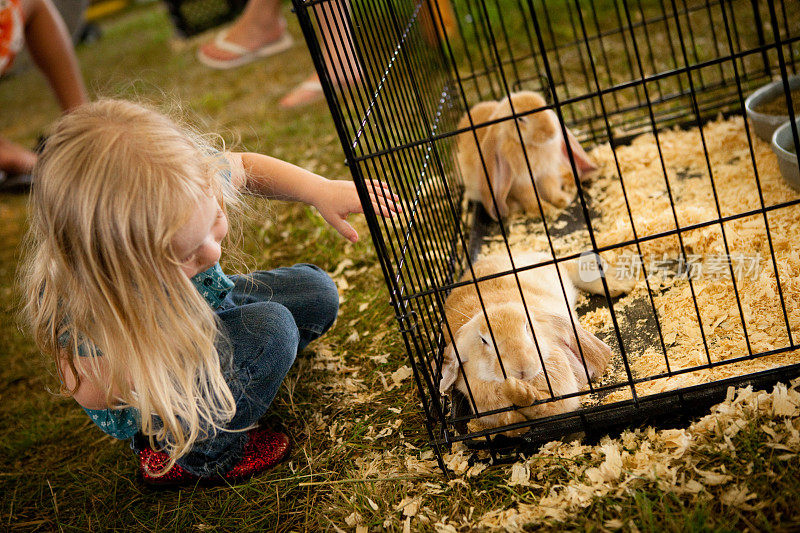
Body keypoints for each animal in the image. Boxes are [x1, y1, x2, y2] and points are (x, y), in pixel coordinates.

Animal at [438, 251, 632, 434]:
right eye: (484, 340)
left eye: (527, 328)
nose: (521, 368)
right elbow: (509, 422)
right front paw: (514, 413)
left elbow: (545, 408)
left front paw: (518, 392)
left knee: (566, 264)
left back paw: (618, 284)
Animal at [454, 90, 596, 219]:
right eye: (520, 119)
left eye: (544, 105)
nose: (551, 131)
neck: (531, 146)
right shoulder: (521, 181)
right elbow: (530, 197)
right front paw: (545, 210)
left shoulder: (547, 172)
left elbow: (551, 188)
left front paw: (563, 200)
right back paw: (513, 206)